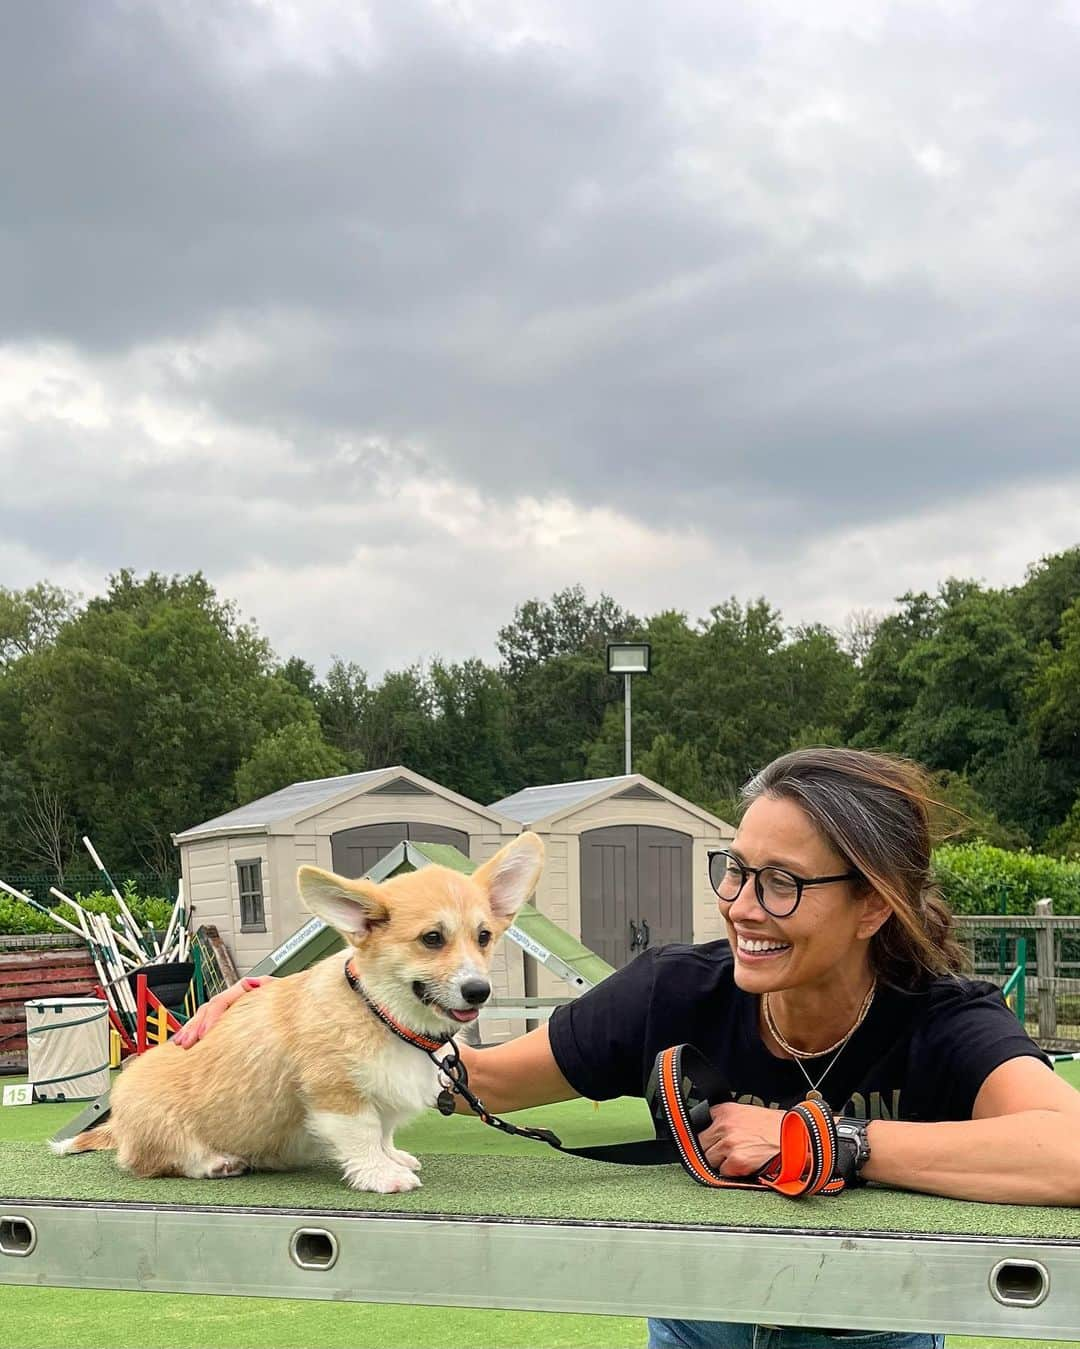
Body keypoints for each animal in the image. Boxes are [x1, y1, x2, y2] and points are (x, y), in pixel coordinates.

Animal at [52, 830, 539, 1192]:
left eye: (484, 936)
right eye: (432, 938)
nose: (478, 991)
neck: (383, 1013)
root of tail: (119, 1120)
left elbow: (383, 1132)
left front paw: (394, 1158)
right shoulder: (337, 1093)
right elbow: (364, 1133)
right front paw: (382, 1175)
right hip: (159, 1126)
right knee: (150, 1161)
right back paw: (216, 1162)